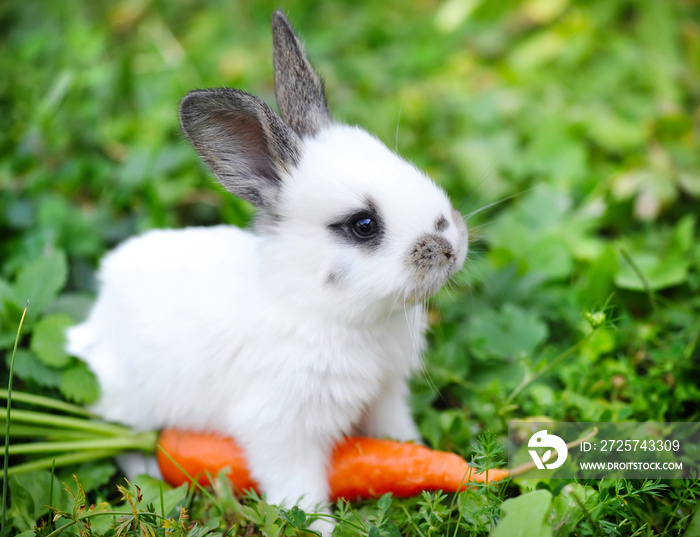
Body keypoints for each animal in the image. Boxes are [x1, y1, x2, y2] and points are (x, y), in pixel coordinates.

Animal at [67, 9, 470, 532]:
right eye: (363, 225)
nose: (451, 246)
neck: (325, 310)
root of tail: (93, 325)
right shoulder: (282, 430)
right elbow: (301, 490)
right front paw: (321, 529)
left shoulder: (385, 396)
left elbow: (397, 439)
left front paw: (420, 456)